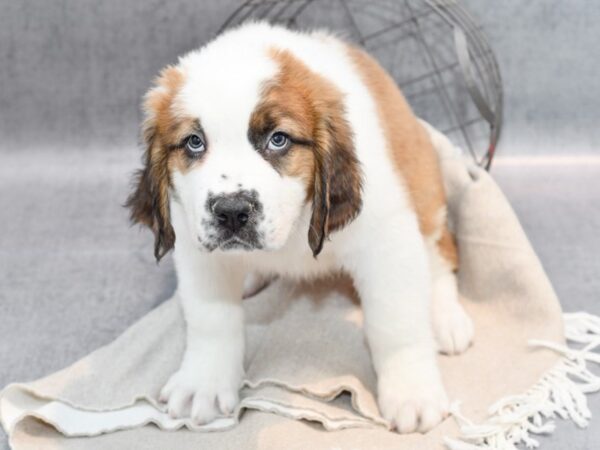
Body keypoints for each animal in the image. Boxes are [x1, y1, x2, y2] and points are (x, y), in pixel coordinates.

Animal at [126, 22, 474, 434]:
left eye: (278, 139)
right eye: (194, 143)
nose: (231, 212)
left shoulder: (386, 241)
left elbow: (395, 323)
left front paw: (412, 392)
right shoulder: (196, 247)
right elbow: (211, 318)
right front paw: (204, 383)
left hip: (424, 188)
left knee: (440, 252)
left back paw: (446, 317)